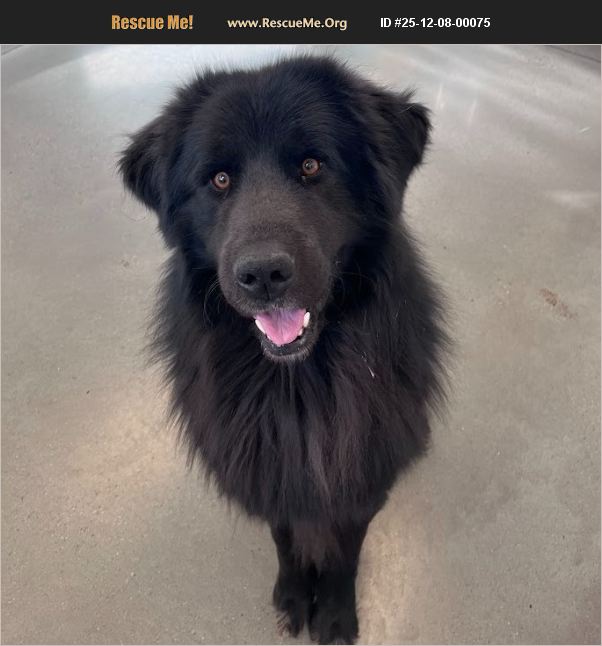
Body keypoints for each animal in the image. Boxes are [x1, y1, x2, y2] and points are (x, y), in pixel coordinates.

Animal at [119, 55, 449, 644]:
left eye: (312, 166)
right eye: (219, 179)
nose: (264, 275)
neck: (297, 387)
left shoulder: (359, 478)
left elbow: (344, 551)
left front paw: (335, 612)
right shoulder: (269, 468)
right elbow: (283, 535)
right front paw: (295, 593)